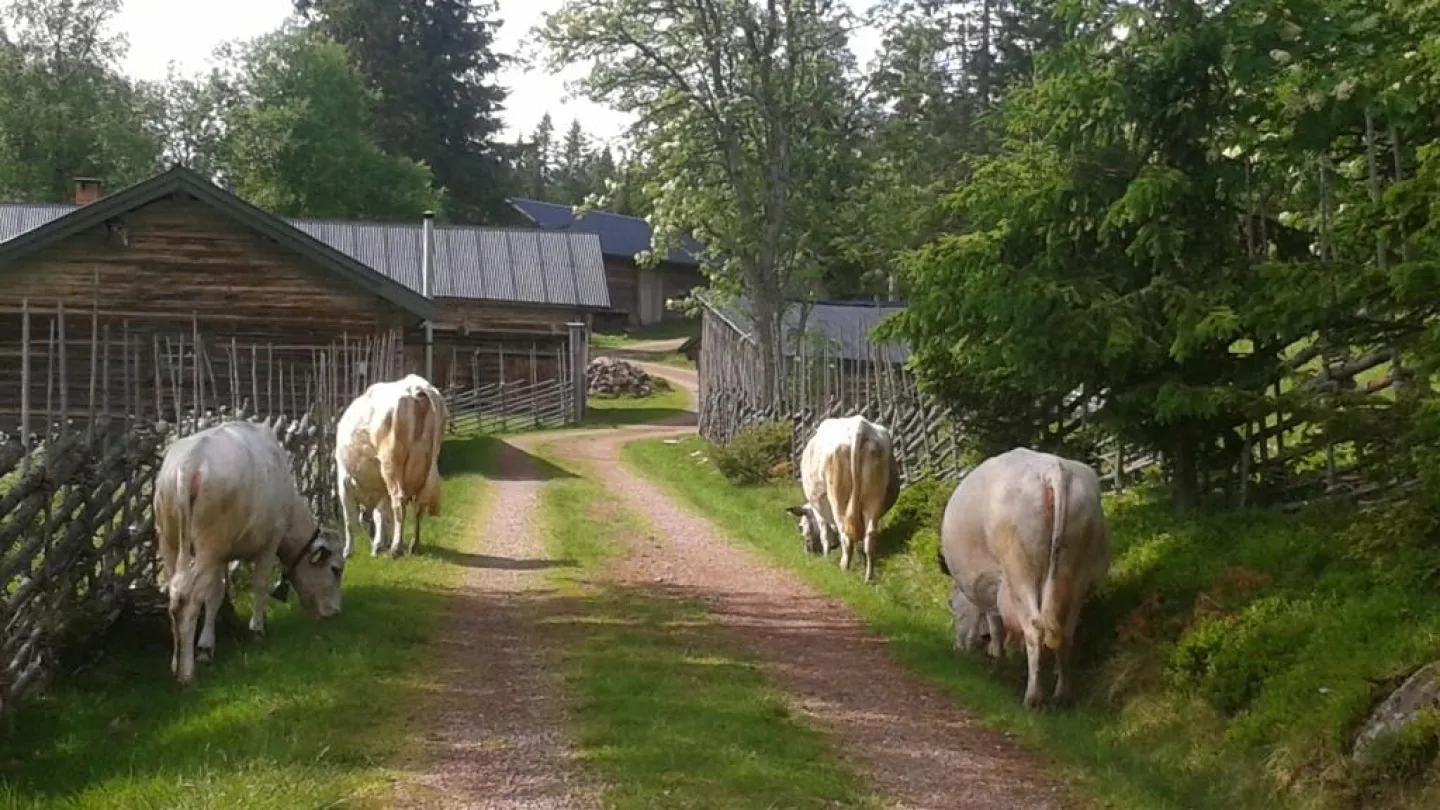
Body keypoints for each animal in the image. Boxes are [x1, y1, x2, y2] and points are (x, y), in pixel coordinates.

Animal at [156, 415, 347, 686]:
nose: (335, 613)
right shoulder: (269, 543)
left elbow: (215, 594)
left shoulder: (222, 555)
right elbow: (259, 584)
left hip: (171, 542)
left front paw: (205, 646)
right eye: (335, 569)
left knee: (175, 593)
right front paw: (258, 628)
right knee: (187, 598)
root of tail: (191, 461)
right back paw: (186, 674)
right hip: (208, 545)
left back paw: (175, 662)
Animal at [336, 374, 449, 559]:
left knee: (399, 501)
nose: (376, 544)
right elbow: (382, 516)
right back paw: (413, 545)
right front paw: (379, 543)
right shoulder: (382, 490)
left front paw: (348, 551)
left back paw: (396, 548)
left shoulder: (344, 482)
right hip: (428, 466)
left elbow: (350, 519)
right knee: (419, 503)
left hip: (391, 464)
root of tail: (416, 388)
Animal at [789, 415, 898, 579]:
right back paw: (868, 576)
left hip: (838, 500)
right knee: (869, 536)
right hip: (874, 498)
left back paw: (844, 568)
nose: (808, 551)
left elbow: (824, 535)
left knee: (846, 536)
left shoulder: (819, 507)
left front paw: (826, 559)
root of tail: (859, 426)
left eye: (801, 527)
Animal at [933, 446, 1111, 706]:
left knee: (1035, 628)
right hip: (1077, 572)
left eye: (952, 605)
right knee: (1065, 632)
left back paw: (1033, 697)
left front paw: (996, 665)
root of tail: (1052, 469)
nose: (958, 647)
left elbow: (996, 628)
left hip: (1020, 572)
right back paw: (1062, 694)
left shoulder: (991, 589)